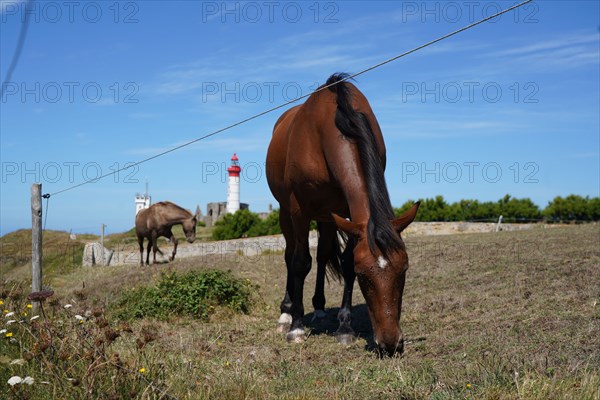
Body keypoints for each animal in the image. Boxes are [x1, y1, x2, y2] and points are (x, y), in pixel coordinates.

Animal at [264, 73, 420, 354]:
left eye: (403, 271)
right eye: (364, 277)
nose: (391, 343)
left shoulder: (348, 214)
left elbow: (345, 262)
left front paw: (345, 327)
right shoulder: (299, 210)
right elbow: (300, 262)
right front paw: (296, 327)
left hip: (327, 216)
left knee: (323, 254)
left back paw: (319, 307)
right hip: (285, 212)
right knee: (290, 255)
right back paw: (286, 313)